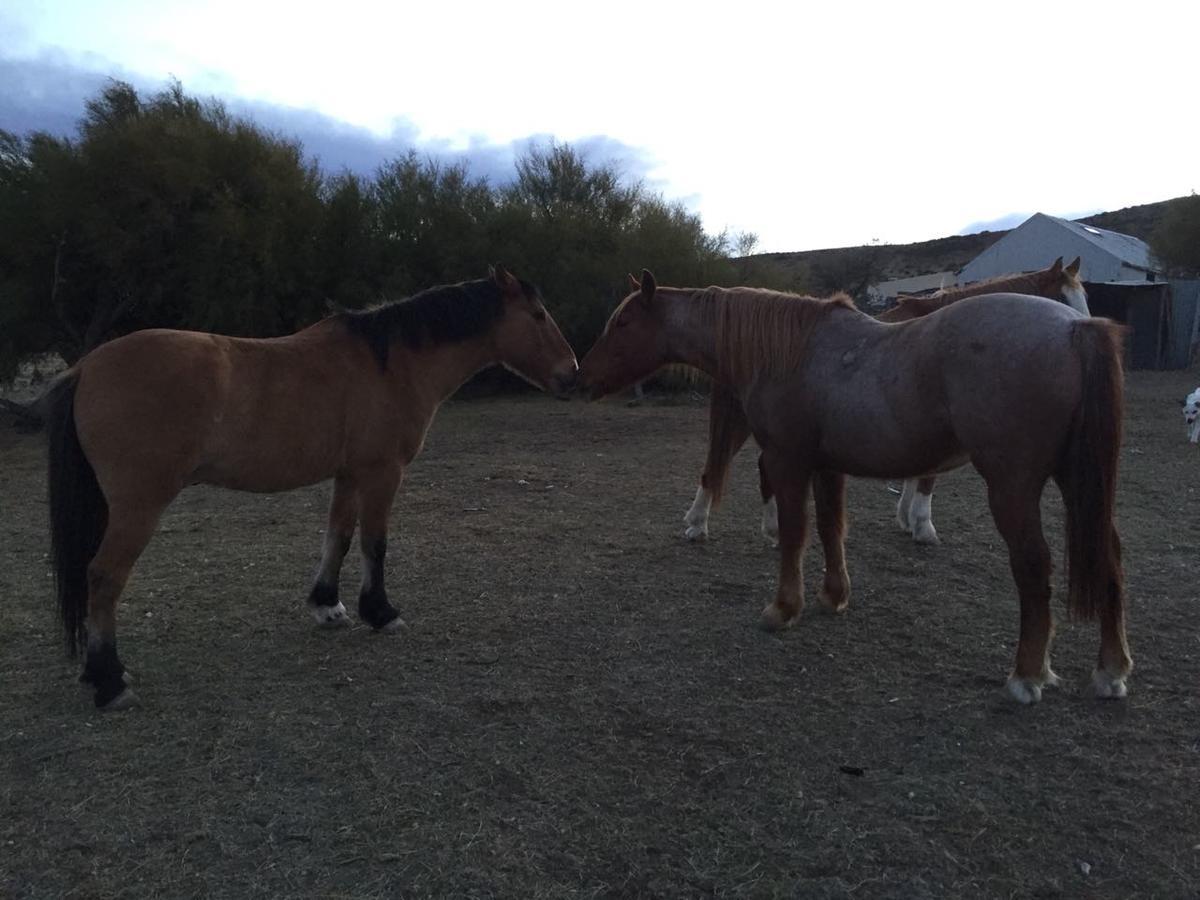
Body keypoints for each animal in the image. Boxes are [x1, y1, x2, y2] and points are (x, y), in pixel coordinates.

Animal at [42, 267, 576, 710]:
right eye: (538, 315)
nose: (571, 373)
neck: (390, 364)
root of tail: (87, 367)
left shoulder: (350, 473)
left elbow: (337, 538)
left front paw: (328, 606)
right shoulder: (383, 472)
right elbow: (374, 543)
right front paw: (380, 612)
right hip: (139, 505)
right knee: (104, 577)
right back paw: (110, 681)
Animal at [686, 256, 1089, 547]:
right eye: (1063, 299)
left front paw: (906, 517)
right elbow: (927, 478)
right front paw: (923, 526)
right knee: (715, 466)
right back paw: (697, 524)